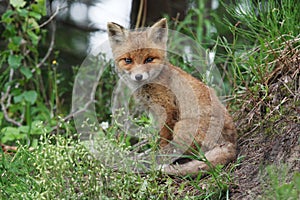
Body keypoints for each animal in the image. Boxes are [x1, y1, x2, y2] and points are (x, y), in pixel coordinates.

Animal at [107, 18, 237, 175]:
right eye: (128, 60)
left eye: (149, 59)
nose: (138, 77)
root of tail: (231, 143)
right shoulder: (154, 113)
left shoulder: (168, 108)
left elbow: (163, 140)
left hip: (182, 126)